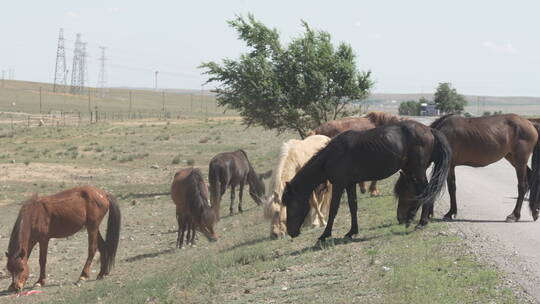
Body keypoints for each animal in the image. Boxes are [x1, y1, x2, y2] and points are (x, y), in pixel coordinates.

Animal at [280, 120, 450, 241]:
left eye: (292, 204)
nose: (291, 232)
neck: (332, 155)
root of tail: (430, 130)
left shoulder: (339, 185)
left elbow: (334, 209)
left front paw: (324, 235)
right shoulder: (349, 184)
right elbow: (353, 206)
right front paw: (352, 232)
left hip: (417, 172)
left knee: (425, 193)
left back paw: (421, 222)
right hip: (411, 172)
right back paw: (411, 219)